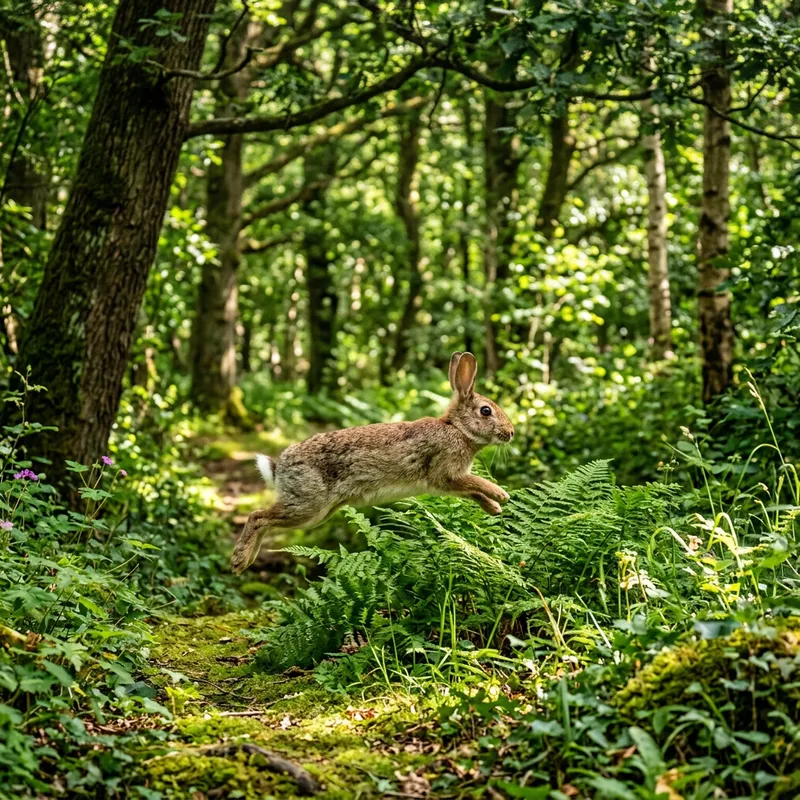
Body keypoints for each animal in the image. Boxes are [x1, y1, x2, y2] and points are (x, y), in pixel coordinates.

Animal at [231, 351, 514, 574]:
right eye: (486, 411)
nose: (510, 432)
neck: (457, 429)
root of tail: (279, 468)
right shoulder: (446, 473)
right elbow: (476, 483)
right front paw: (502, 495)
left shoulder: (450, 483)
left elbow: (472, 491)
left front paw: (494, 508)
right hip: (308, 505)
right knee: (257, 516)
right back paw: (239, 561)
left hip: (317, 514)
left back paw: (247, 561)